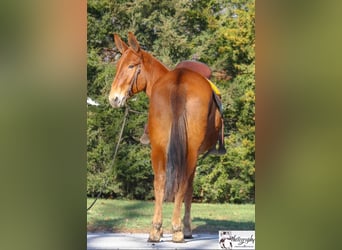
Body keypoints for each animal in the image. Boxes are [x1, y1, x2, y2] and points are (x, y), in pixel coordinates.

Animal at [108, 32, 223, 242]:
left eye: (131, 66)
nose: (114, 98)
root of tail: (179, 80)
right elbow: (188, 189)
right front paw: (186, 228)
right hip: (189, 151)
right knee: (182, 182)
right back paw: (177, 229)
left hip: (159, 147)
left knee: (159, 181)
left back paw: (155, 230)